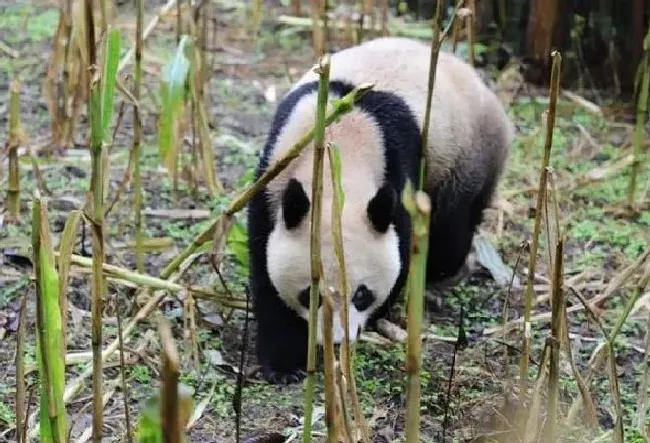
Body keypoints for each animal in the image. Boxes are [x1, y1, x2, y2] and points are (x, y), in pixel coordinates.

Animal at [246, 36, 512, 384]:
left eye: (362, 294)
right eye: (309, 294)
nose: (337, 341)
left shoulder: (397, 167)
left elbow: (402, 247)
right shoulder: (273, 174)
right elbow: (265, 270)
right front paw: (284, 364)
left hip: (465, 154)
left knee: (454, 224)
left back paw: (440, 270)